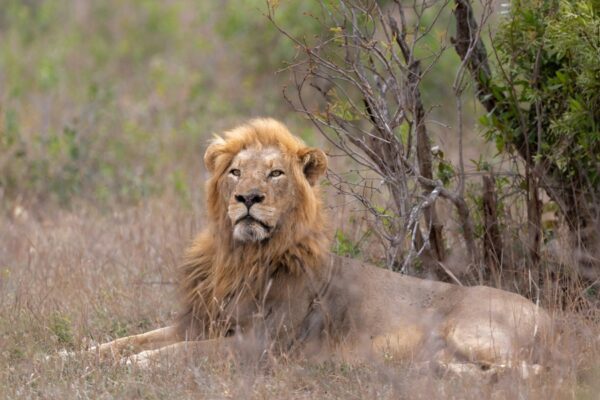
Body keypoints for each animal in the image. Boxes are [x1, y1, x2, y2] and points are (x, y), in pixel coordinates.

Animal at [92, 118, 548, 372]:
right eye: (236, 171)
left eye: (275, 173)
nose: (247, 198)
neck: (241, 256)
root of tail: (553, 319)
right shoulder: (199, 322)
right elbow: (124, 341)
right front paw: (77, 356)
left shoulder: (262, 344)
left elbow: (179, 354)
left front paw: (133, 367)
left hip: (469, 331)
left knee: (528, 370)